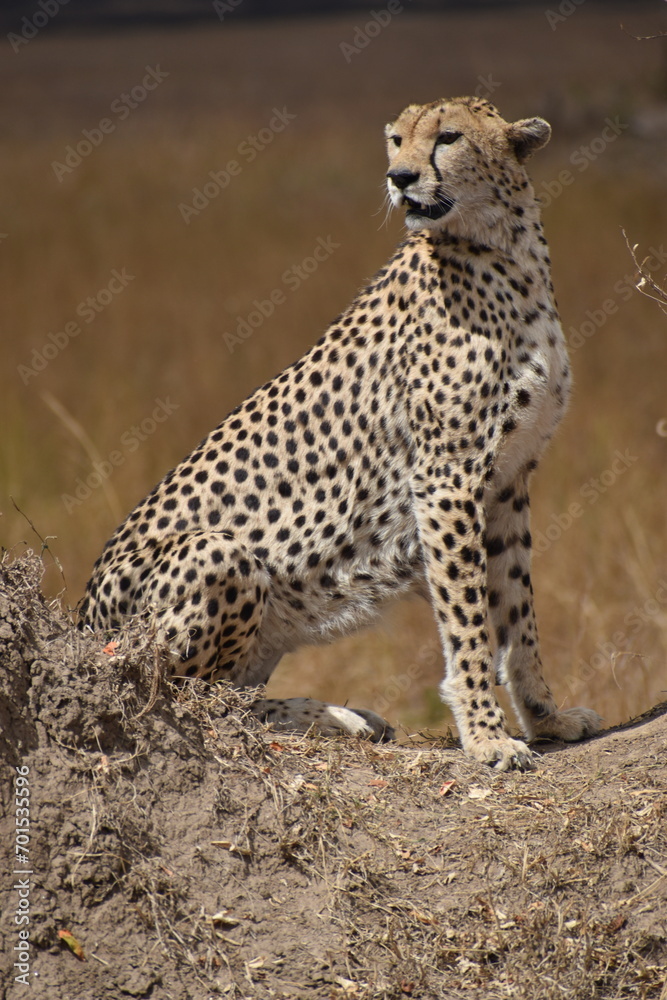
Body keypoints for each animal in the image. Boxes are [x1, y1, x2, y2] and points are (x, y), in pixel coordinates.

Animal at [79, 96, 602, 771]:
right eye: (396, 139)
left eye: (449, 137)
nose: (400, 178)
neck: (504, 248)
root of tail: (78, 623)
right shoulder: (446, 481)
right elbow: (468, 621)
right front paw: (487, 735)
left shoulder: (508, 480)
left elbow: (518, 614)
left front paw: (546, 717)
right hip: (220, 555)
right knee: (195, 702)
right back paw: (336, 717)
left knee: (231, 696)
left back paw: (343, 717)